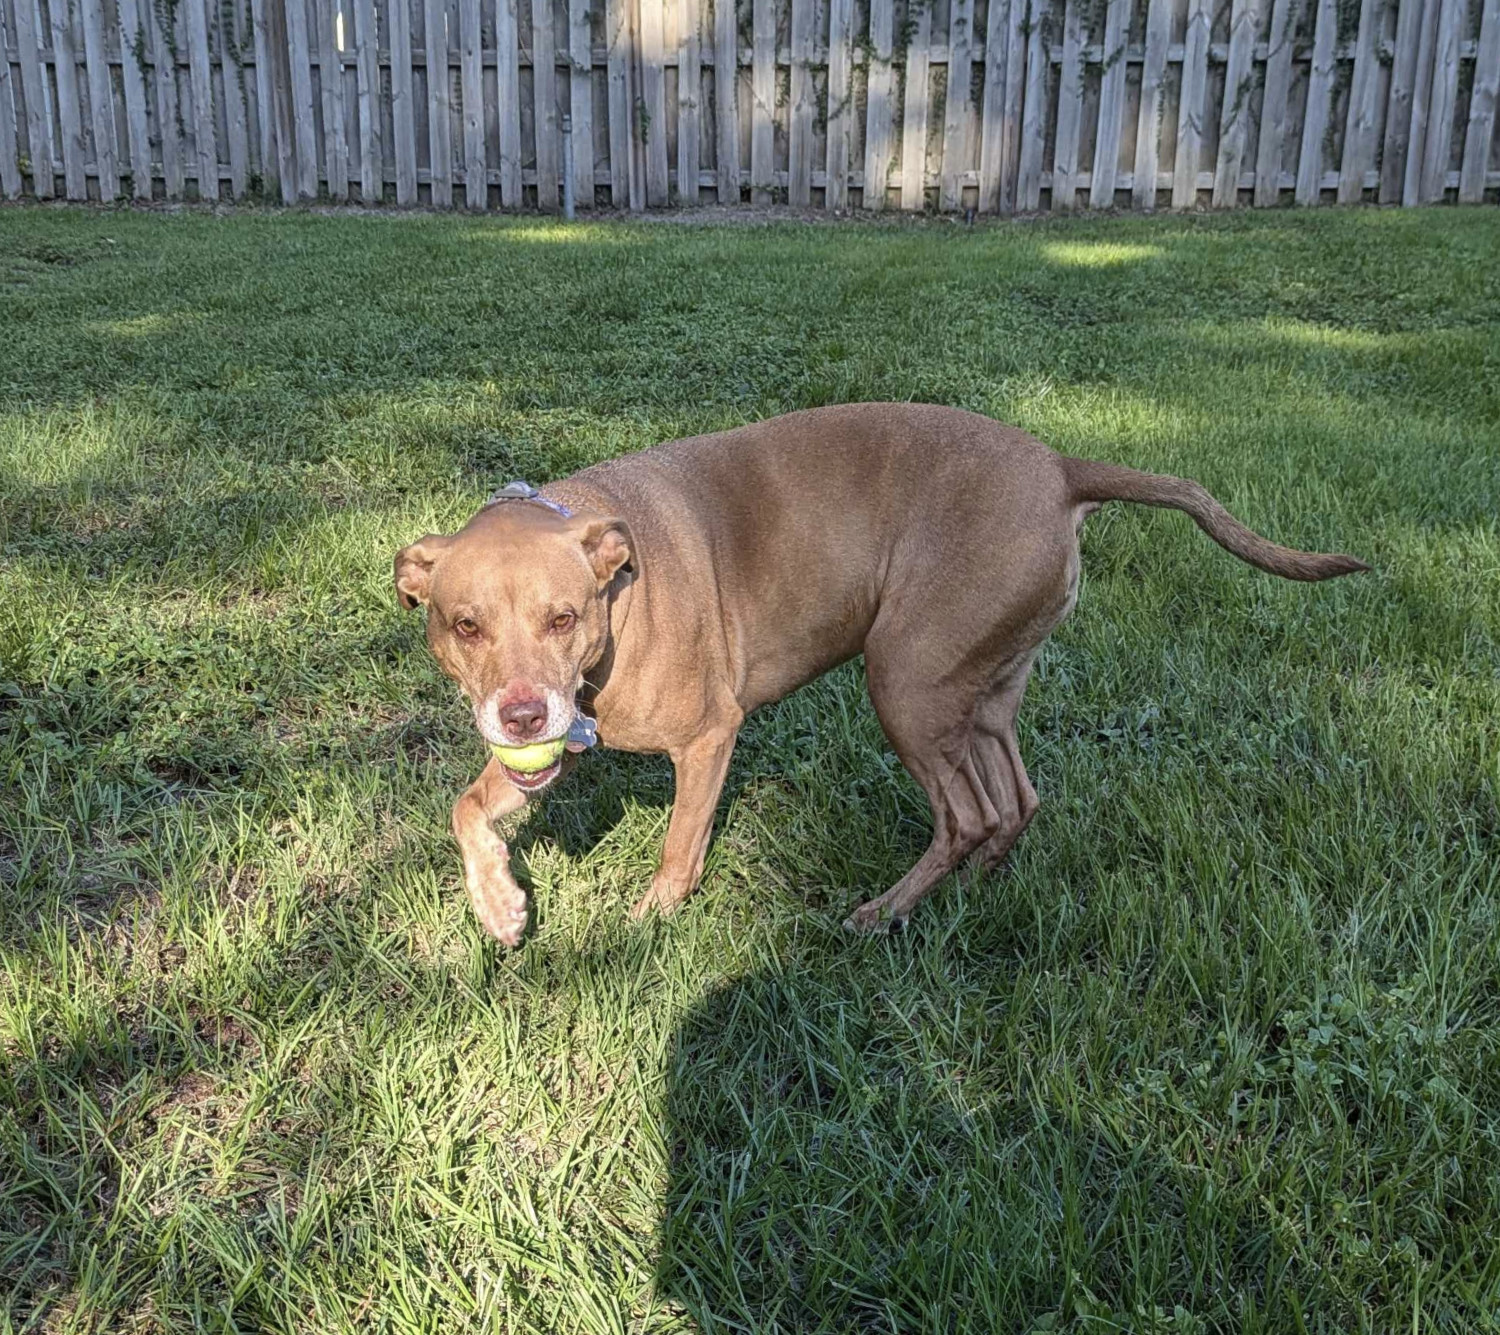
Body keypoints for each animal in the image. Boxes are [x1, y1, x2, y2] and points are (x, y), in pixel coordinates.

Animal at [393, 402, 1368, 942]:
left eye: (562, 617)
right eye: (465, 624)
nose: (521, 714)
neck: (614, 568)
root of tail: (1060, 467)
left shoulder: (708, 738)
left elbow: (678, 845)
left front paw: (645, 929)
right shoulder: (554, 743)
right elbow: (467, 805)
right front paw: (499, 905)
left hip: (904, 681)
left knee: (965, 813)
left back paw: (884, 910)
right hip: (977, 693)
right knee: (1011, 803)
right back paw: (961, 894)